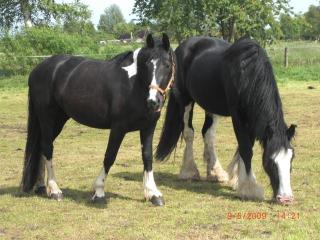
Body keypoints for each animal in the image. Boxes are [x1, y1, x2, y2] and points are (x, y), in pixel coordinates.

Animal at [20, 33, 175, 206]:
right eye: (147, 64)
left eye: (167, 65)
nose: (153, 101)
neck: (134, 84)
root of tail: (37, 70)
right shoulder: (118, 127)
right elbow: (109, 157)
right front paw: (99, 192)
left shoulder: (148, 126)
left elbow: (147, 157)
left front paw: (153, 194)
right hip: (47, 118)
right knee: (47, 148)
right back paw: (55, 190)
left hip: (58, 120)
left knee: (41, 147)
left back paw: (41, 186)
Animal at [156, 36, 296, 204]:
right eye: (270, 162)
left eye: (291, 159)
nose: (285, 198)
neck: (247, 72)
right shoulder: (238, 116)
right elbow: (246, 148)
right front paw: (249, 189)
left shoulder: (251, 116)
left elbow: (243, 147)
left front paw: (237, 181)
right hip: (185, 99)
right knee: (189, 132)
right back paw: (189, 171)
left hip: (211, 105)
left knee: (208, 134)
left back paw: (215, 173)